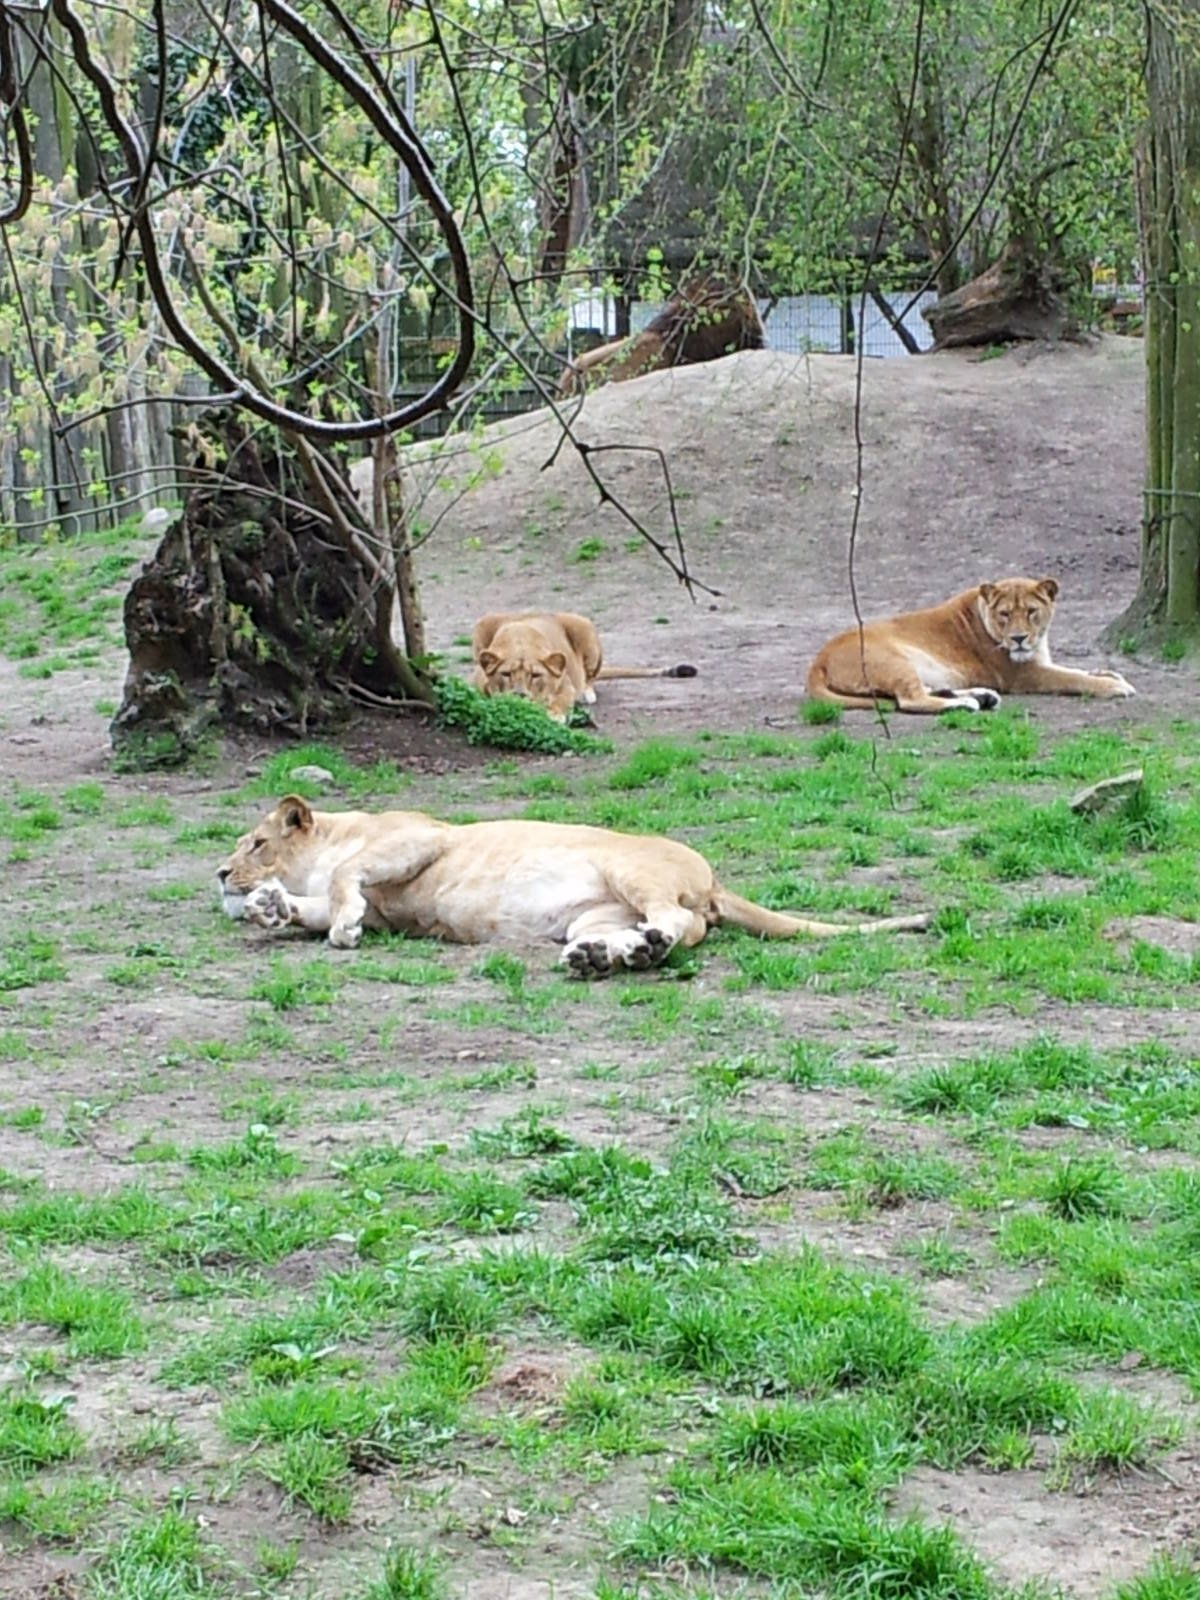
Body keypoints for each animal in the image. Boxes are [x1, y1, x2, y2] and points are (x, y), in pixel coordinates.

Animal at [217, 797, 931, 976]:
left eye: (255, 842)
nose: (220, 872)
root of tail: (715, 880)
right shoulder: (391, 913)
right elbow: (320, 901)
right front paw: (270, 907)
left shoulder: (421, 838)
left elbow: (345, 879)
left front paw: (336, 927)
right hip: (593, 914)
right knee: (665, 934)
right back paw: (607, 956)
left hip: (631, 871)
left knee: (678, 922)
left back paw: (639, 946)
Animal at [472, 611, 696, 722]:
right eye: (506, 674)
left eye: (535, 675)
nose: (519, 696)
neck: (519, 640)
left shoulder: (566, 686)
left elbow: (560, 701)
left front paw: (554, 715)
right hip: (483, 622)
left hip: (584, 626)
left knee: (590, 678)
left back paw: (586, 694)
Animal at [805, 578, 1135, 715]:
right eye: (1005, 614)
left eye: (1031, 611)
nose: (1018, 638)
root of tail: (817, 661)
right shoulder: (1025, 675)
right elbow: (1072, 678)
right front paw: (1115, 686)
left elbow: (1079, 669)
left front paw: (1110, 674)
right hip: (894, 661)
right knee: (911, 700)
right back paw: (969, 704)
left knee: (924, 691)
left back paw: (983, 696)